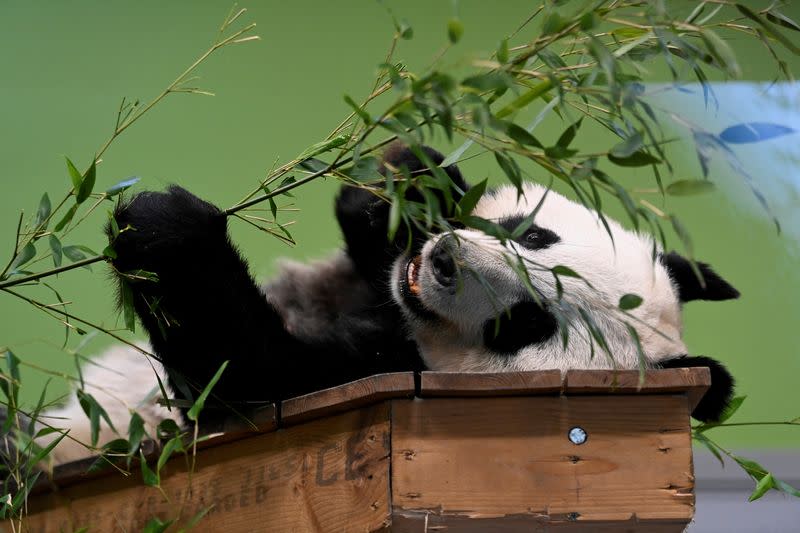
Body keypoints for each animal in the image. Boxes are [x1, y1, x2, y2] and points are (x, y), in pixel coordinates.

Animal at [32, 143, 744, 464]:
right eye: (533, 234)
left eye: (523, 325)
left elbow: (249, 381)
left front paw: (165, 227)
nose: (444, 261)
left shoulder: (377, 376)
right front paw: (411, 179)